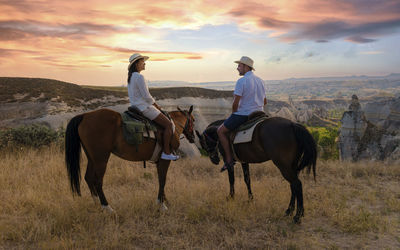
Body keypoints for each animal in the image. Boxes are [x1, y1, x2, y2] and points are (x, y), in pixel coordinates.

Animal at [65, 106, 195, 213]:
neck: (173, 125)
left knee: (88, 178)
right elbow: (163, 180)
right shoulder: (164, 160)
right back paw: (107, 207)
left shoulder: (159, 162)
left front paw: (164, 200)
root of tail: (84, 116)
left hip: (92, 158)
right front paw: (161, 204)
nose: (193, 137)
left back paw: (97, 203)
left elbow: (161, 179)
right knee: (97, 181)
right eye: (193, 120)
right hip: (101, 159)